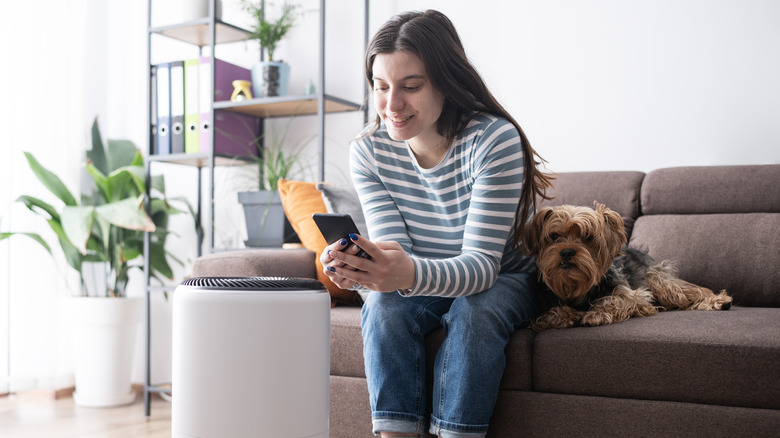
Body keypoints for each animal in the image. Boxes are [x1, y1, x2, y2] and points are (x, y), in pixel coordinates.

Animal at [524, 204, 732, 330]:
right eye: (554, 236)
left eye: (587, 237)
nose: (566, 252)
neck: (576, 286)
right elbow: (546, 314)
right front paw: (564, 315)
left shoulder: (636, 297)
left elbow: (617, 300)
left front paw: (596, 314)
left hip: (656, 278)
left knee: (690, 291)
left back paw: (719, 300)